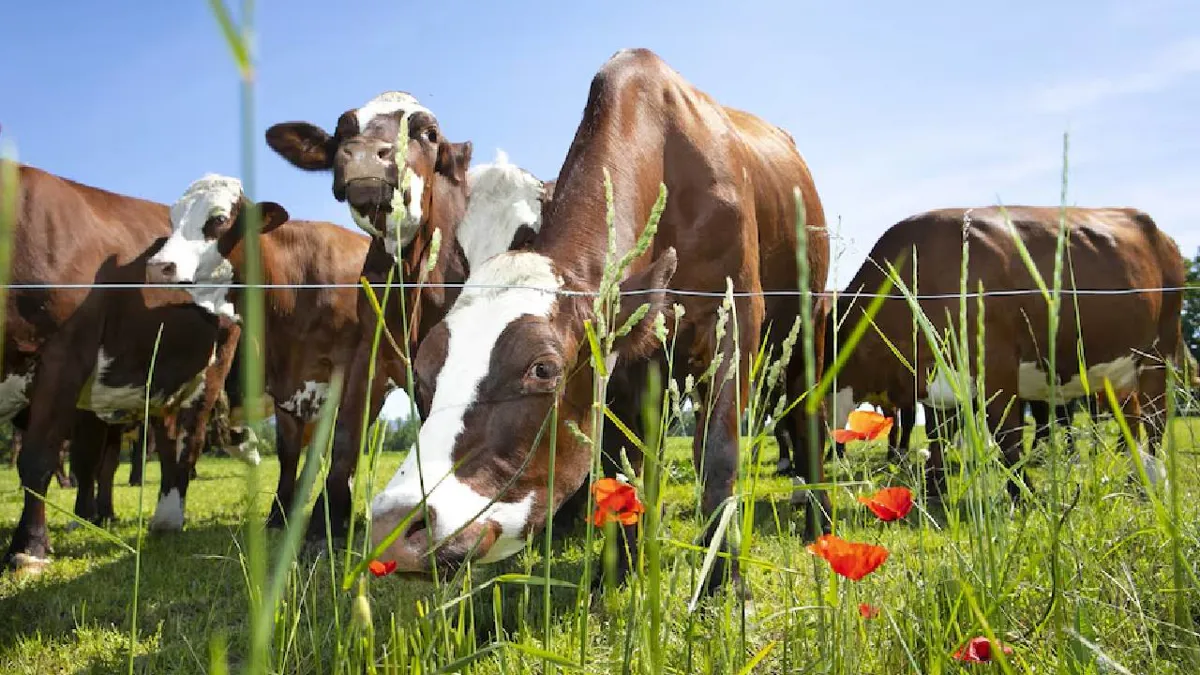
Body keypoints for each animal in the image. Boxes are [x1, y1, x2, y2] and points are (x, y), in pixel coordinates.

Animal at [0, 163, 242, 572]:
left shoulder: (64, 354)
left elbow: (40, 457)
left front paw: (29, 548)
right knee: (165, 439)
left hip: (212, 367)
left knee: (187, 439)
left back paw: (169, 517)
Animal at [262, 94, 550, 542]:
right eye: (343, 130)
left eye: (429, 134)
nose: (365, 155)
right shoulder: (369, 347)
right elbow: (346, 433)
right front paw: (326, 524)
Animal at [366, 49, 831, 596]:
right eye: (423, 376)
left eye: (542, 369)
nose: (394, 526)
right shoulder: (625, 360)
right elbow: (619, 463)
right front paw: (618, 574)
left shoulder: (734, 314)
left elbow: (718, 452)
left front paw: (722, 581)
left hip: (808, 324)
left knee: (809, 419)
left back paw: (818, 521)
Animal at [825, 206, 1184, 500]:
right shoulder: (935, 378)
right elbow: (938, 434)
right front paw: (934, 489)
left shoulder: (996, 367)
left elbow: (1007, 434)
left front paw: (1022, 494)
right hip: (1116, 371)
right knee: (1131, 415)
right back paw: (1137, 479)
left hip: (1159, 351)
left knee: (1155, 417)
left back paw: (1153, 480)